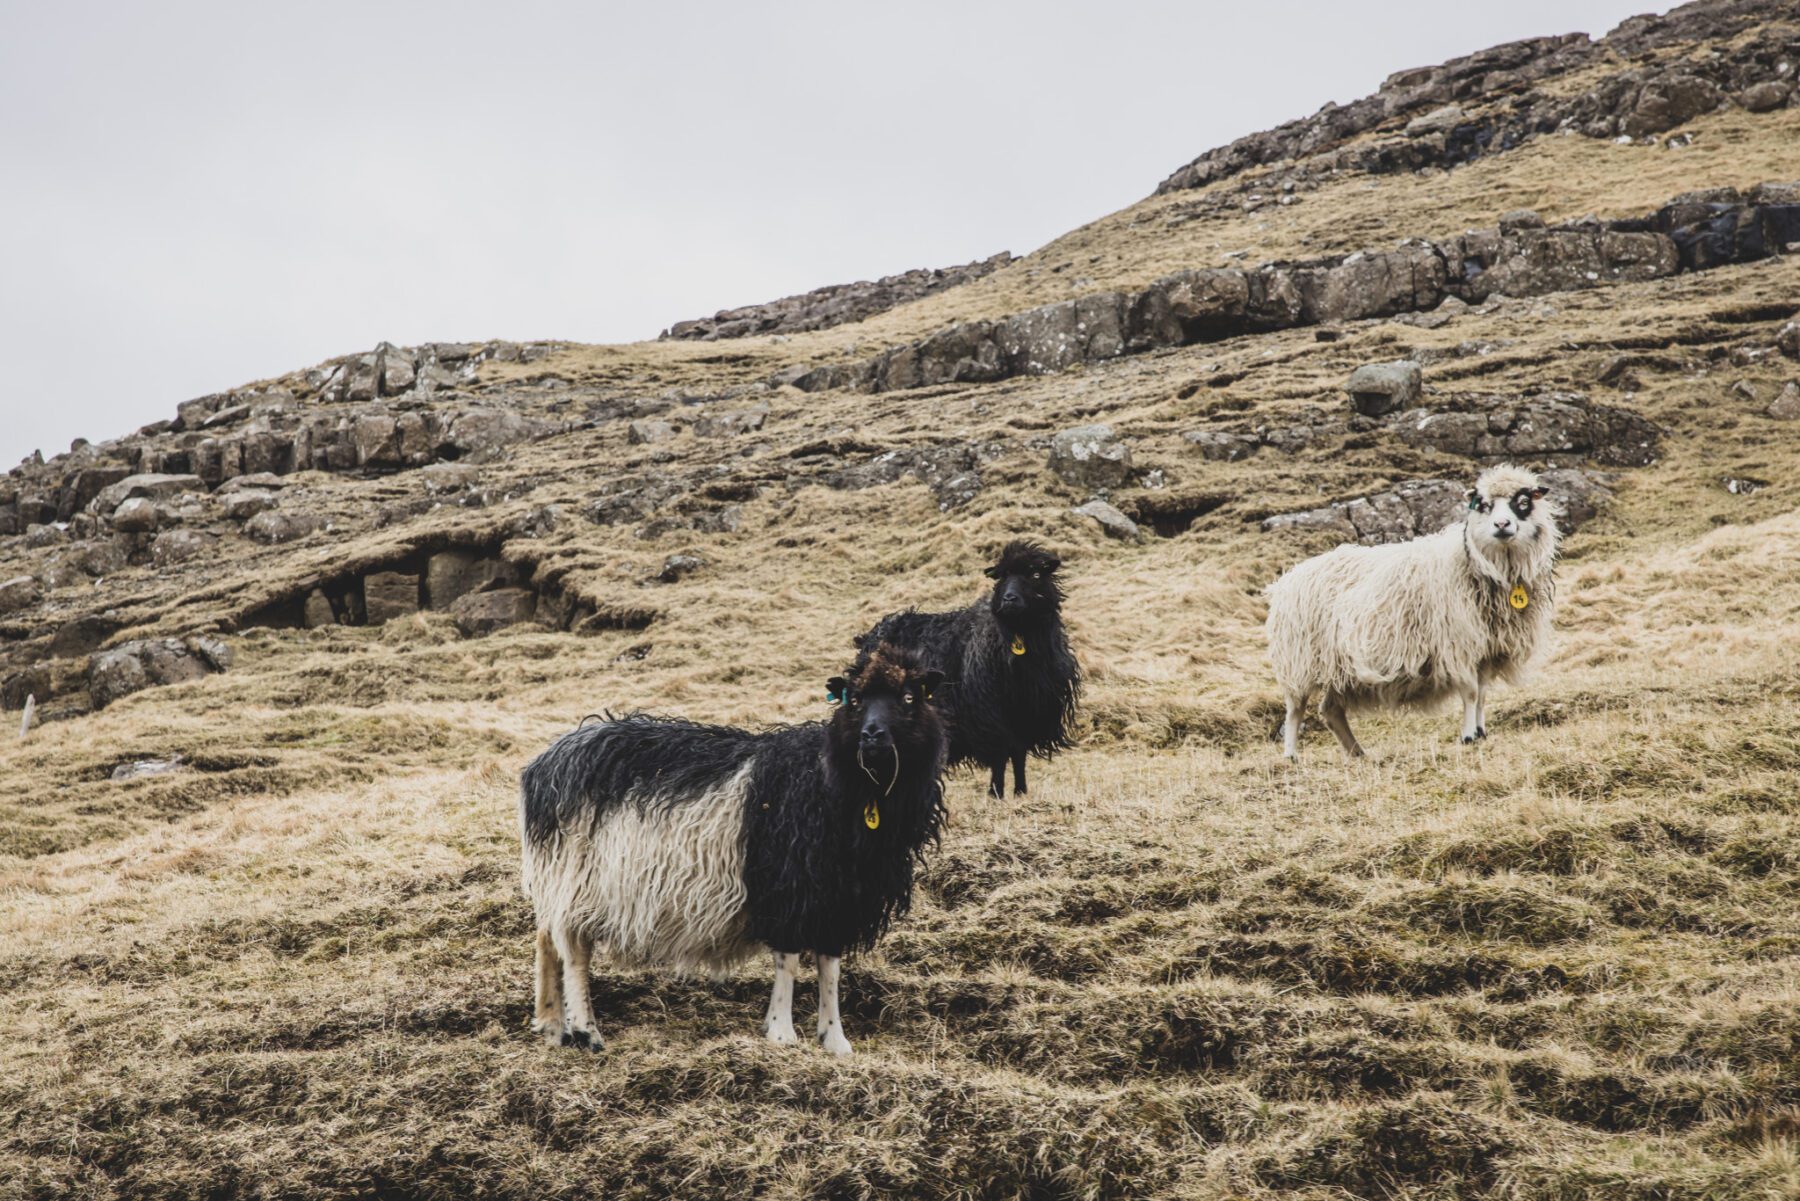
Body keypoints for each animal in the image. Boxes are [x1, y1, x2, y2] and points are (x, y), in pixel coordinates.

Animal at [518, 644, 950, 1058]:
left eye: (909, 697)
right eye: (855, 699)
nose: (872, 736)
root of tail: (545, 764)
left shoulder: (837, 899)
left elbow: (830, 968)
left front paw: (835, 1040)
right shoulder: (789, 888)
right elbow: (788, 962)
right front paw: (782, 1033)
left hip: (559, 875)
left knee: (547, 941)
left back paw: (552, 1026)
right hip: (578, 878)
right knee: (574, 951)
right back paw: (585, 1030)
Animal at [849, 543, 1072, 799]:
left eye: (1035, 574)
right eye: (1003, 576)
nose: (1009, 599)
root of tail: (871, 635)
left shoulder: (1028, 714)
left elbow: (1019, 755)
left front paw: (1020, 792)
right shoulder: (988, 715)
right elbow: (1000, 756)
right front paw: (996, 793)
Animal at [1267, 464, 1562, 759]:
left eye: (1523, 502)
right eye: (1484, 505)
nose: (1502, 525)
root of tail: (1287, 579)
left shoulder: (1486, 650)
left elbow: (1482, 695)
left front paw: (1481, 732)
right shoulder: (1458, 645)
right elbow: (1470, 693)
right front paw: (1468, 736)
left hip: (1338, 669)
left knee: (1331, 710)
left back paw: (1357, 753)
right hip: (1299, 661)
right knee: (1295, 710)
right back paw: (1291, 755)